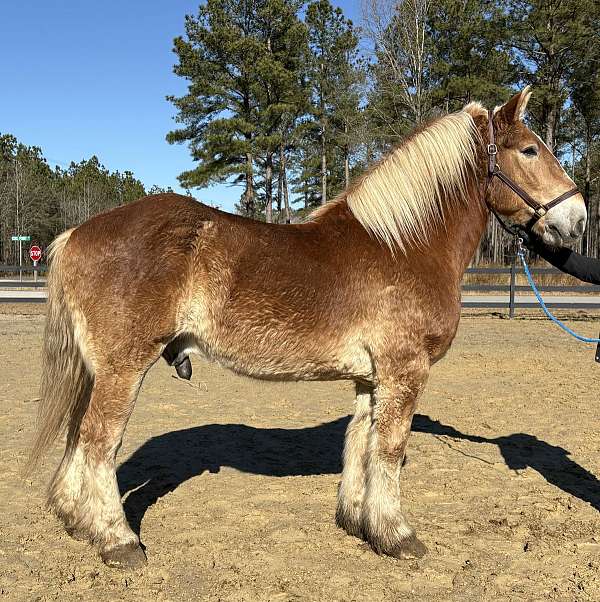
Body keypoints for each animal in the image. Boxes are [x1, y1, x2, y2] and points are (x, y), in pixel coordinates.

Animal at [27, 85, 584, 568]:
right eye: (530, 150)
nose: (577, 219)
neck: (404, 245)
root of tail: (77, 233)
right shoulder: (405, 371)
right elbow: (390, 448)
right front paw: (398, 536)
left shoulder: (370, 378)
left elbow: (360, 443)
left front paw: (361, 524)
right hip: (123, 368)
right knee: (99, 441)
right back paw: (118, 541)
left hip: (98, 370)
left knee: (78, 435)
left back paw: (78, 522)